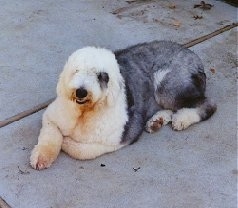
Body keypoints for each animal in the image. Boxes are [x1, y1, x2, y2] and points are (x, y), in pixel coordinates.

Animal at [29, 40, 216, 169]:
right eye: (76, 70)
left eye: (102, 76)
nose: (81, 91)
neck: (85, 112)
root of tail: (193, 55)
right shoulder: (51, 117)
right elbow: (50, 136)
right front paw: (41, 157)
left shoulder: (122, 136)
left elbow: (81, 151)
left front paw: (67, 142)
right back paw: (157, 121)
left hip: (167, 86)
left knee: (208, 104)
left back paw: (182, 119)